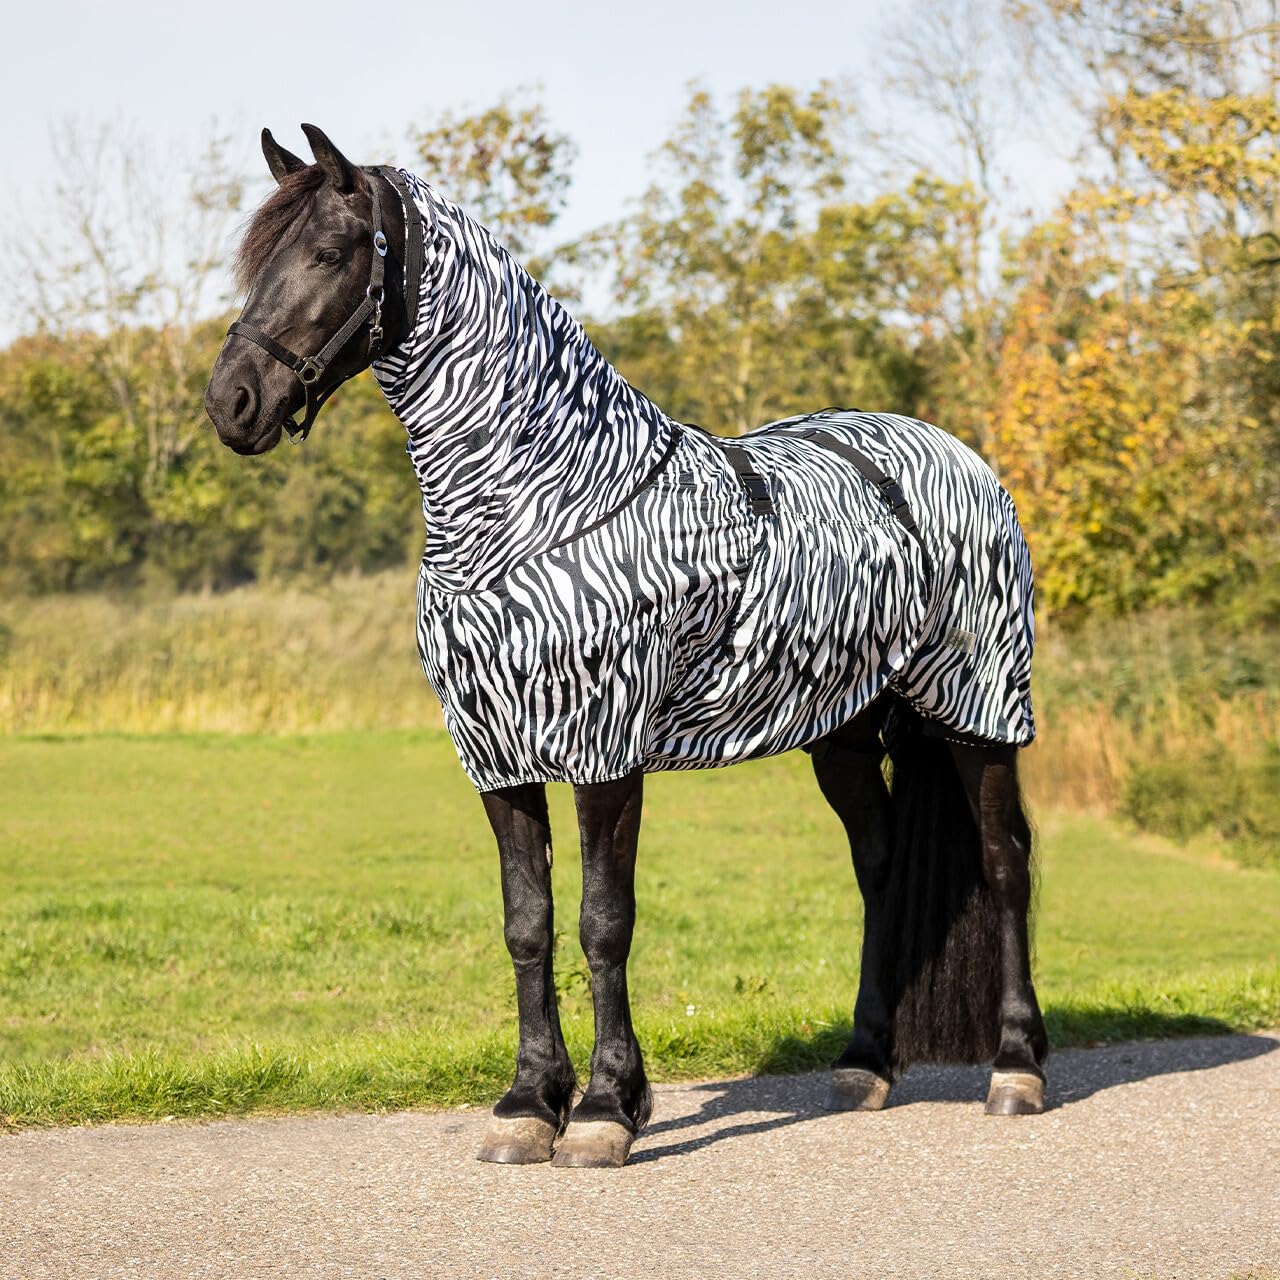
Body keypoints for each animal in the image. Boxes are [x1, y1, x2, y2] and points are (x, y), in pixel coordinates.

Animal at [205, 124, 1048, 1168]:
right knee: (880, 868)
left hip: (979, 712)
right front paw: (530, 1104)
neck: (543, 501)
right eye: (255, 263)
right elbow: (528, 924)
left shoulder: (605, 753)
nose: (232, 403)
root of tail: (954, 456)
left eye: (328, 253)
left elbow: (604, 923)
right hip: (846, 735)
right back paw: (864, 1062)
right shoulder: (496, 757)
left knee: (1004, 862)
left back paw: (1016, 1067)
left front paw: (607, 1109)